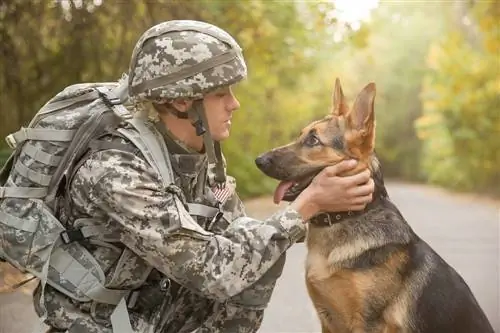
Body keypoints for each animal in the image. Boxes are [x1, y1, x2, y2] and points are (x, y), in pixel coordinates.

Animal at [256, 79, 494, 330]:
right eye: (301, 135)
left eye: (313, 140)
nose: (259, 160)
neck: (347, 215)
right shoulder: (327, 322)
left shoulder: (367, 323)